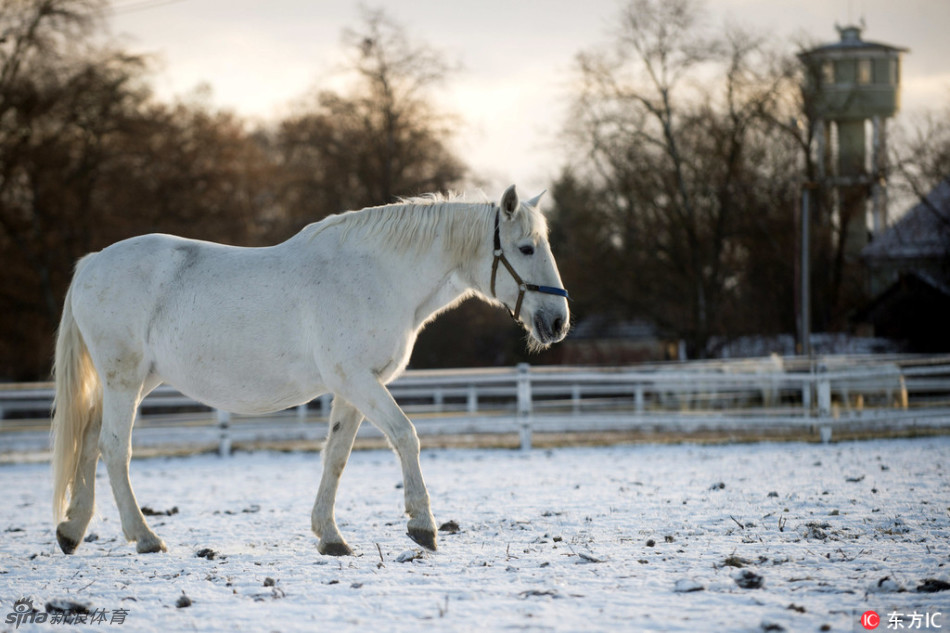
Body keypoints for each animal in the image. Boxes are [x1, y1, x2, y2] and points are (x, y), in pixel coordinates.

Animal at [50, 183, 564, 552]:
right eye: (525, 248)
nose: (557, 321)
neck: (377, 276)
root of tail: (92, 263)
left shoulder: (355, 387)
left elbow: (336, 456)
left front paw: (330, 536)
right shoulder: (356, 380)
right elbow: (405, 435)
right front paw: (422, 525)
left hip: (137, 380)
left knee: (90, 439)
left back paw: (72, 531)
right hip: (125, 377)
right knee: (114, 448)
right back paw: (144, 537)